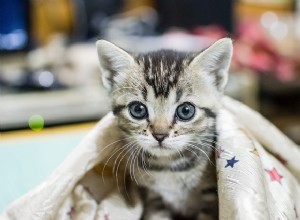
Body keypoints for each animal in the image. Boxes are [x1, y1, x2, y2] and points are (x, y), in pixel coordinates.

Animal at [97, 38, 233, 219]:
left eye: (186, 111)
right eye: (137, 110)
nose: (160, 135)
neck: (168, 167)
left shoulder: (211, 199)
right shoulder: (153, 197)